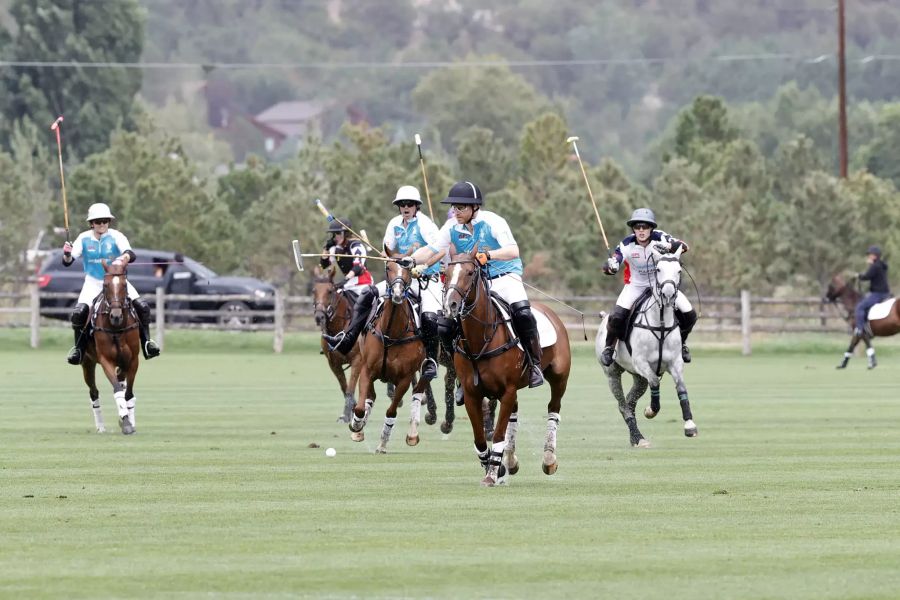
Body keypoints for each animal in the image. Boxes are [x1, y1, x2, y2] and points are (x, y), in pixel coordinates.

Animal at [81, 260, 142, 434]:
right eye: (105, 285)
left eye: (124, 284)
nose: (116, 316)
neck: (117, 329)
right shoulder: (106, 360)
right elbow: (117, 390)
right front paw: (126, 422)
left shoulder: (133, 360)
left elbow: (128, 393)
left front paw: (129, 421)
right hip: (87, 363)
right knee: (94, 392)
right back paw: (101, 427)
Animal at [312, 268, 362, 422]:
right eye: (313, 290)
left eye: (330, 291)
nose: (319, 317)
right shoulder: (334, 364)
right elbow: (345, 388)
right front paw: (349, 412)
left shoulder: (357, 360)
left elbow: (350, 389)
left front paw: (348, 413)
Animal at [348, 246, 428, 452]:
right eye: (388, 267)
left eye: (408, 269)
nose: (398, 293)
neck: (391, 332)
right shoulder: (367, 369)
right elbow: (360, 407)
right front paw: (357, 424)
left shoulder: (405, 378)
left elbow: (391, 411)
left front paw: (383, 443)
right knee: (370, 396)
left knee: (418, 391)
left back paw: (412, 435)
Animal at [442, 248, 568, 488]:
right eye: (445, 273)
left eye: (470, 272)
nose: (450, 305)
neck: (479, 340)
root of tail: (549, 311)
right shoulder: (472, 394)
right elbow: (480, 439)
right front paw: (495, 468)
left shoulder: (507, 390)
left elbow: (499, 435)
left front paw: (492, 474)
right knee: (514, 415)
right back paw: (510, 461)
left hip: (559, 377)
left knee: (553, 409)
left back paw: (549, 459)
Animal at [596, 245, 700, 450]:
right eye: (658, 269)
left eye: (679, 271)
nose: (668, 295)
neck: (660, 323)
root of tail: (604, 318)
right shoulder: (642, 363)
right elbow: (655, 383)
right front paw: (651, 410)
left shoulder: (675, 363)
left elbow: (681, 388)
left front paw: (690, 426)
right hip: (612, 374)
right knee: (623, 405)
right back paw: (639, 437)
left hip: (638, 377)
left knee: (630, 402)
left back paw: (635, 438)